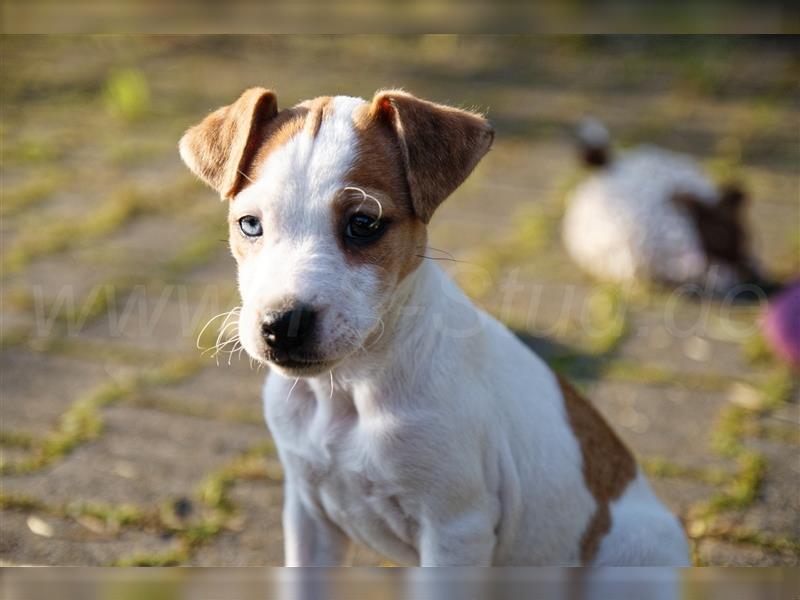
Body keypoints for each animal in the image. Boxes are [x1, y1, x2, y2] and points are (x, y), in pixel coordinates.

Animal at [178, 89, 692, 568]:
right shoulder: (308, 516)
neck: (348, 389)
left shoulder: (454, 530)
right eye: (250, 224)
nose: (283, 325)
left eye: (363, 223)